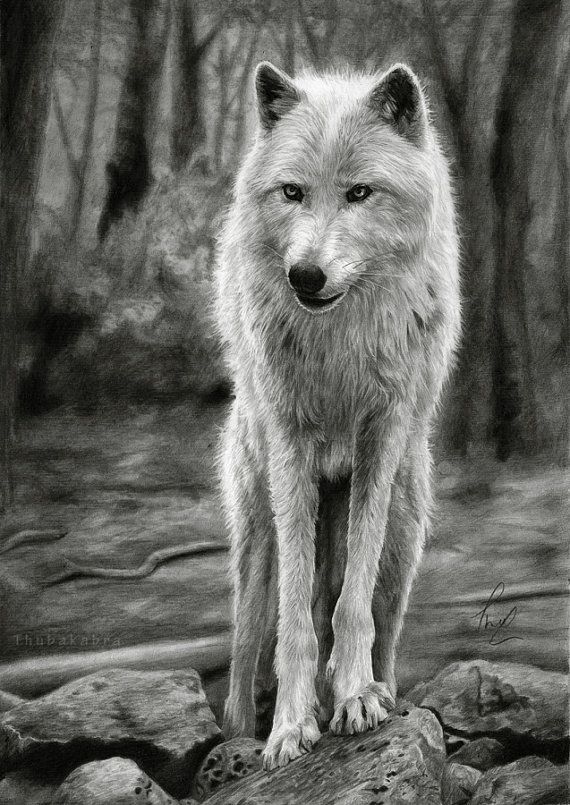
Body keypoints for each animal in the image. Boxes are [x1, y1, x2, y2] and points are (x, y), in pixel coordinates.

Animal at [215, 60, 460, 770]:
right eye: (293, 192)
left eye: (359, 193)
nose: (305, 275)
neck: (339, 343)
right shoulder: (290, 447)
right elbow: (297, 620)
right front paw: (291, 728)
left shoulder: (380, 440)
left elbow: (349, 606)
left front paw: (353, 699)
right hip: (257, 531)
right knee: (247, 644)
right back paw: (241, 732)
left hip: (404, 528)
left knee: (378, 620)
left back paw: (376, 690)